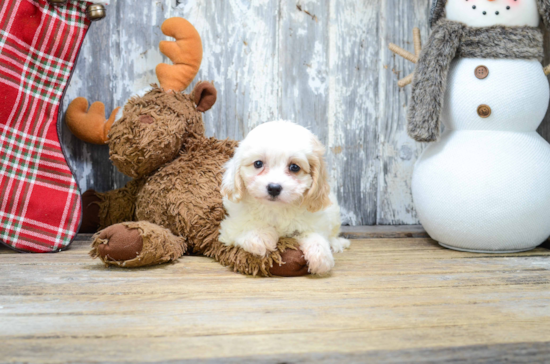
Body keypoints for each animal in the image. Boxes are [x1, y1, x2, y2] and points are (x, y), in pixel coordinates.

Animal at [219, 121, 350, 274]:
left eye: (294, 167)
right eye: (258, 163)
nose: (274, 188)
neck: (276, 209)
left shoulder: (315, 221)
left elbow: (312, 234)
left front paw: (320, 255)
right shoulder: (230, 227)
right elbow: (246, 226)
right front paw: (260, 236)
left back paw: (336, 243)